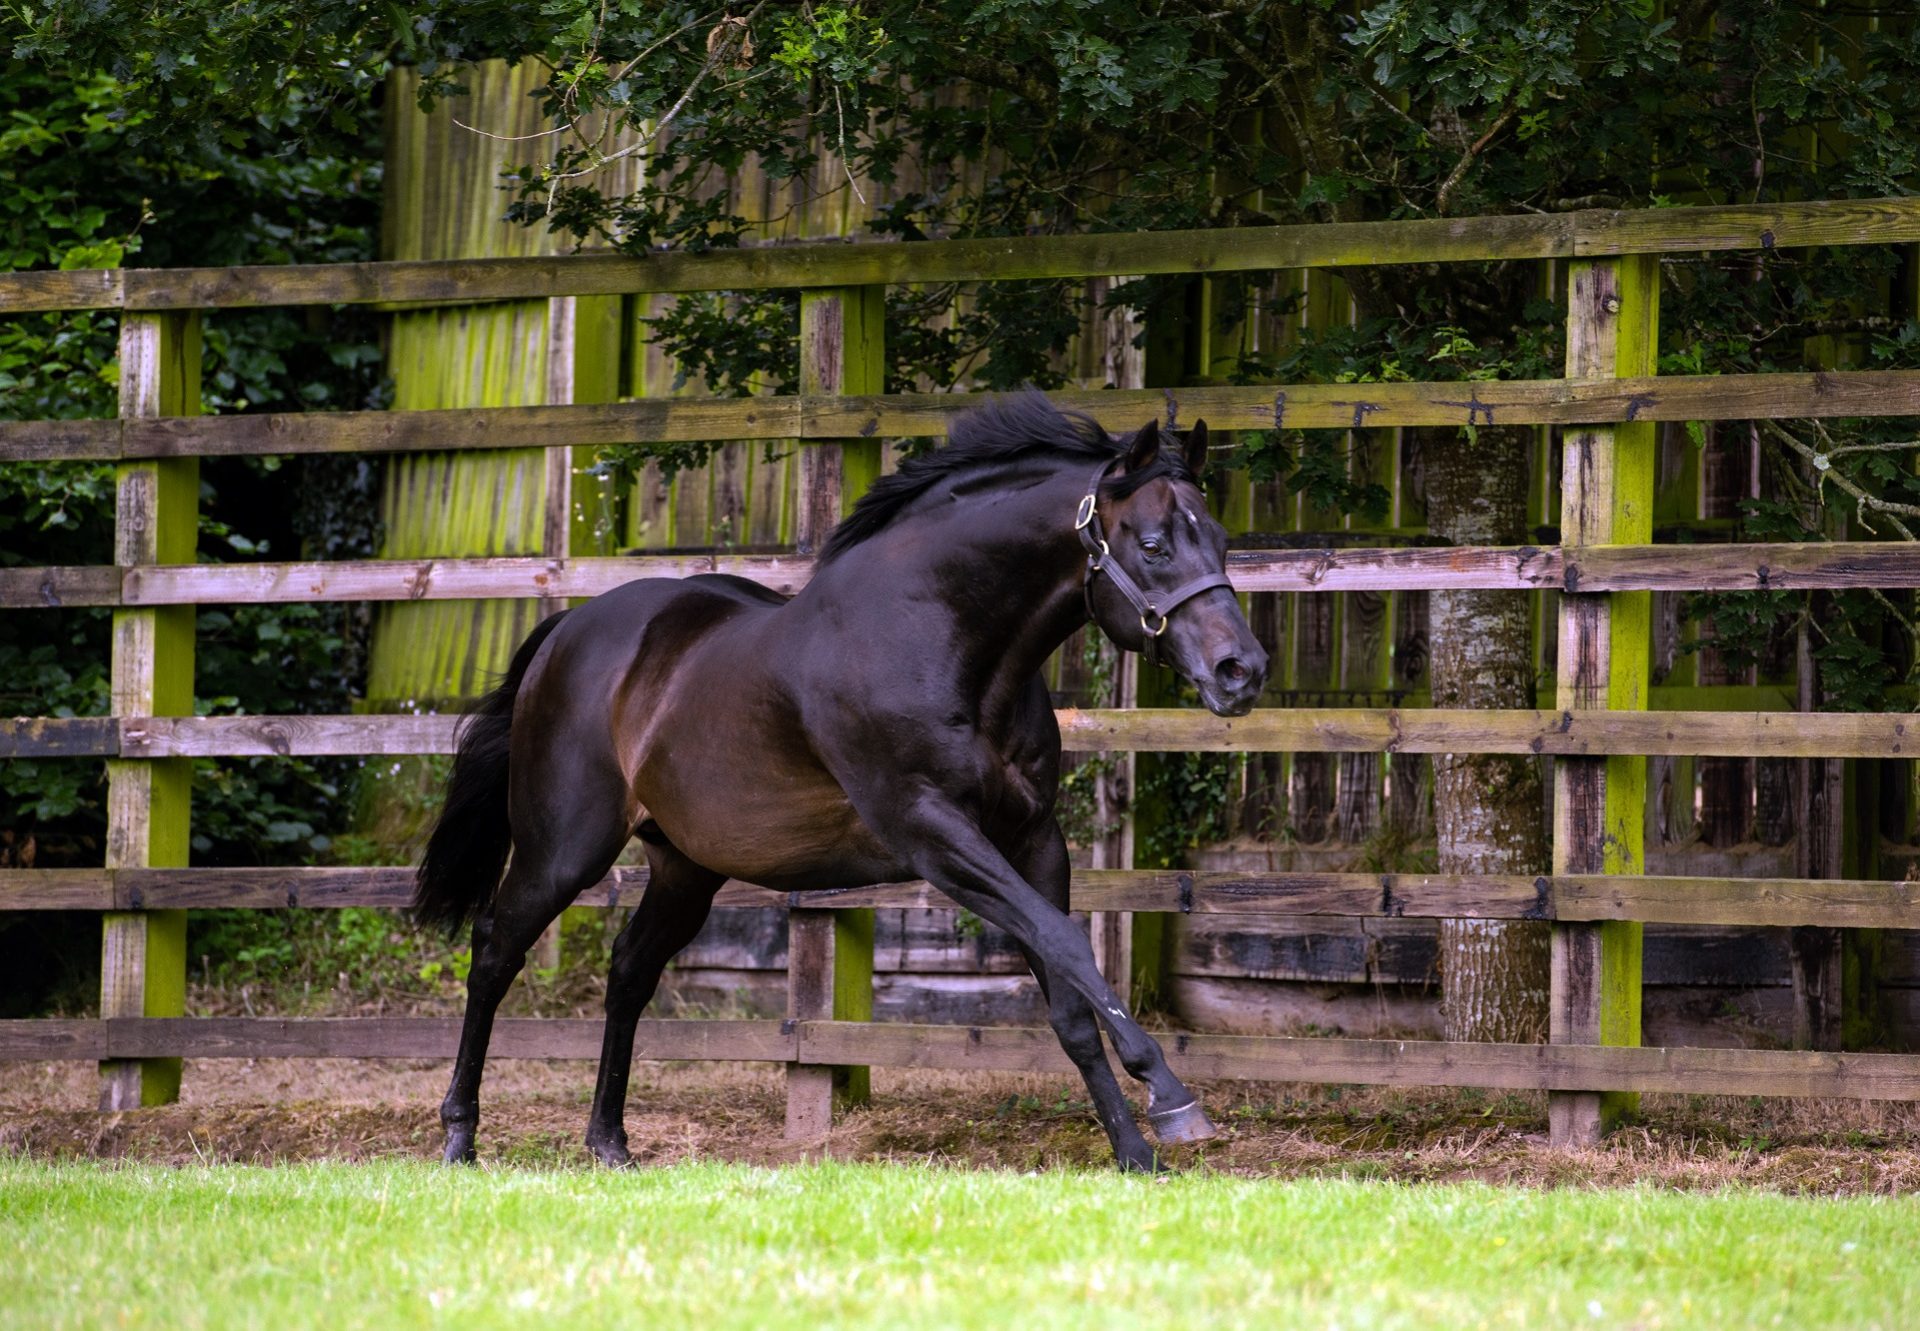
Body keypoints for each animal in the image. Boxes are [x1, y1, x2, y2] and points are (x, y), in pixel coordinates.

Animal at [412, 389, 1267, 1167]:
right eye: (1153, 544)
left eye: (1221, 539)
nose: (1242, 670)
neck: (934, 635)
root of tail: (569, 629)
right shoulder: (933, 834)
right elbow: (1068, 946)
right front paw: (1174, 1099)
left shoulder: (1032, 839)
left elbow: (1068, 994)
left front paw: (1137, 1151)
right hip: (564, 849)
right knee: (494, 951)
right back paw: (459, 1137)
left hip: (685, 866)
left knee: (628, 970)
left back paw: (609, 1142)